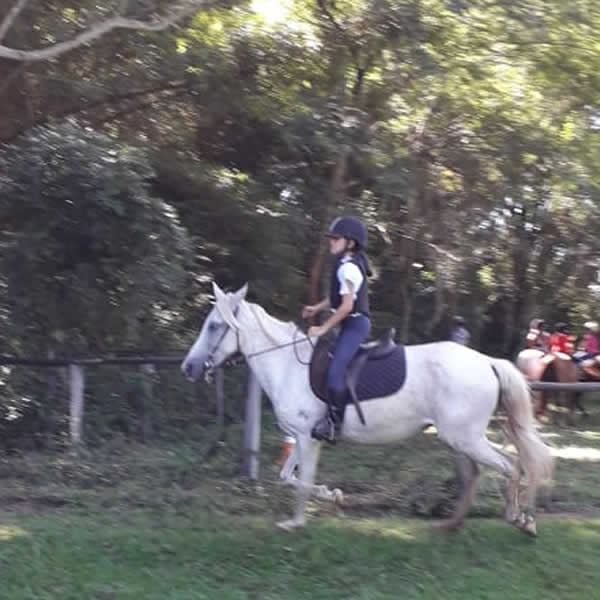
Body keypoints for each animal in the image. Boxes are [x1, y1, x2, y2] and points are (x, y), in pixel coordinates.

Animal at [182, 284, 552, 536]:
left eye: (214, 326)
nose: (189, 367)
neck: (288, 363)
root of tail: (487, 362)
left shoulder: (308, 437)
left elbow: (301, 481)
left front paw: (297, 522)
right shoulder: (303, 436)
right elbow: (288, 476)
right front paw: (332, 496)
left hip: (466, 437)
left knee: (511, 465)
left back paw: (519, 519)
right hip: (458, 439)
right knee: (475, 474)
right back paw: (453, 525)